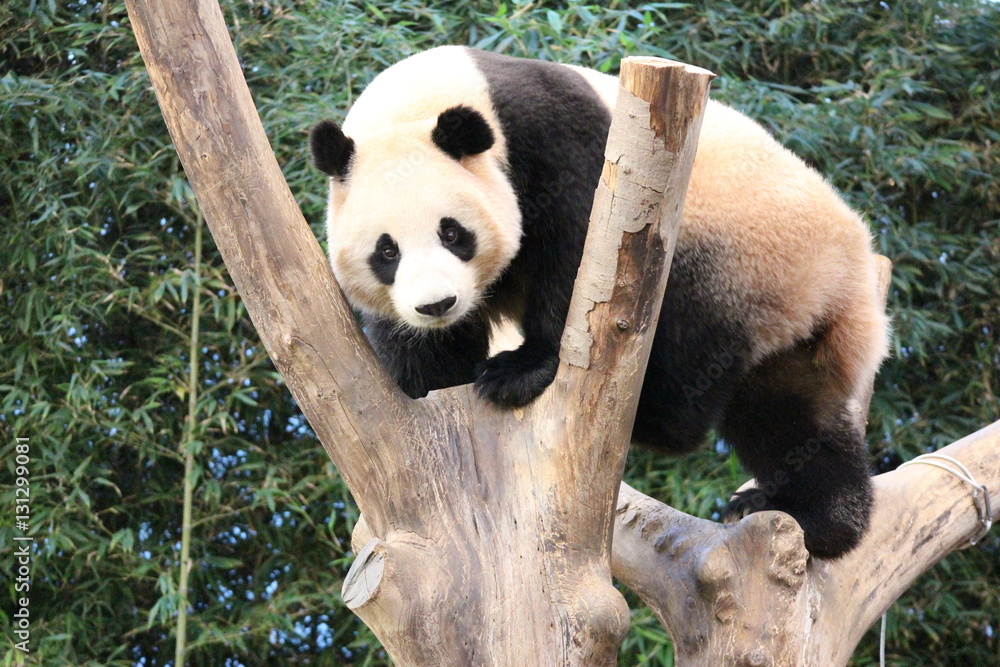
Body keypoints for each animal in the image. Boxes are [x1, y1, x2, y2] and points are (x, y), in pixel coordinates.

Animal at [309, 46, 890, 559]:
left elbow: (580, 258)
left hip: (734, 257)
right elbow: (426, 358)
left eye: (453, 233)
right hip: (787, 314)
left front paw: (517, 372)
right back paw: (806, 513)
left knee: (694, 354)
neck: (425, 99)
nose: (437, 305)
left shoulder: (557, 141)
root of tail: (855, 267)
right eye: (386, 251)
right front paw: (430, 382)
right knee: (790, 413)